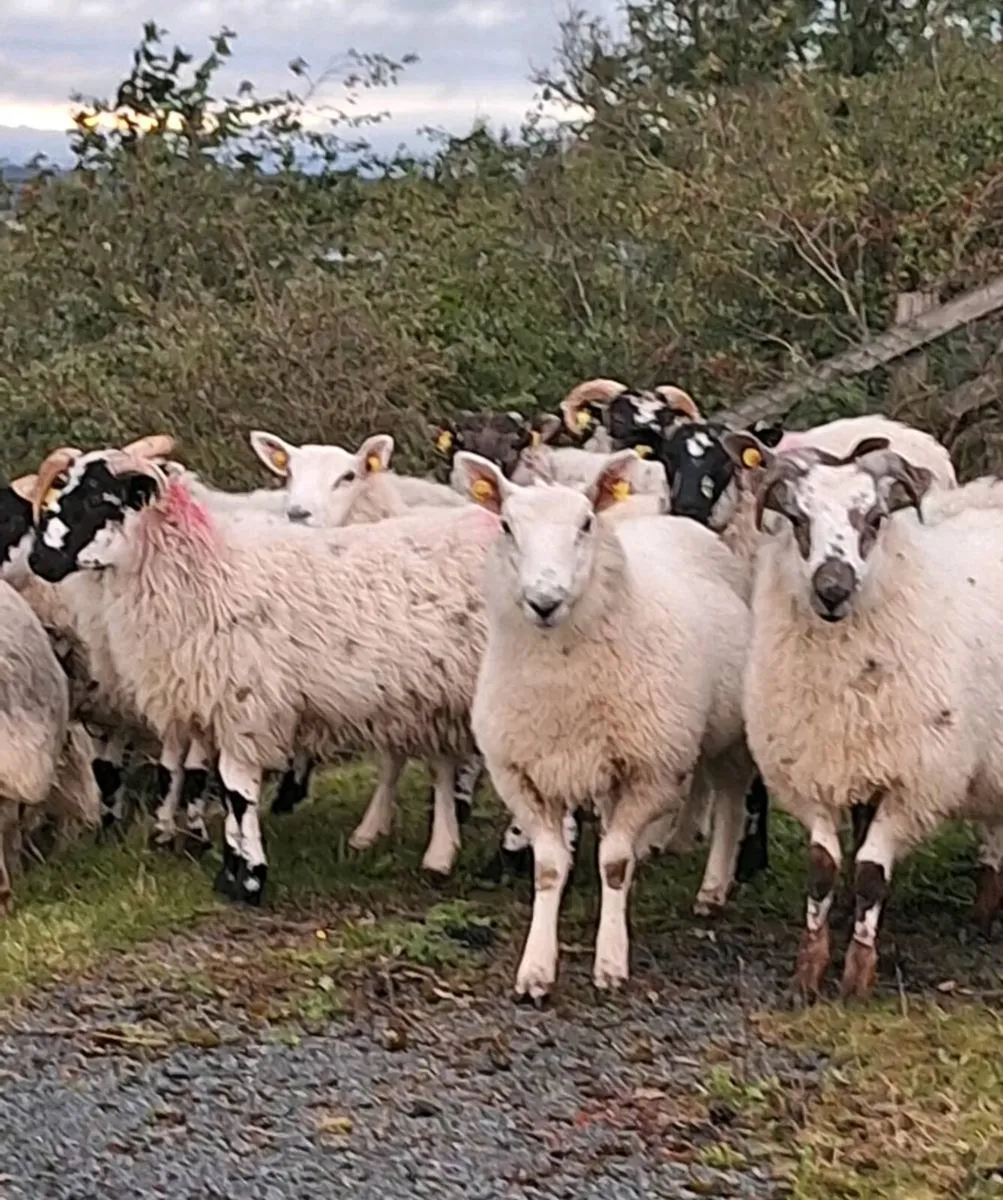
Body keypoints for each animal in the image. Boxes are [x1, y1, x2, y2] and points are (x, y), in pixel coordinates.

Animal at [27, 442, 500, 903]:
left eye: (96, 499)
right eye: (59, 492)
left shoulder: (245, 705)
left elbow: (237, 795)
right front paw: (228, 871)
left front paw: (247, 881)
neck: (203, 570)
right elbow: (215, 787)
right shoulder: (215, 706)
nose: (38, 560)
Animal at [453, 448, 755, 999]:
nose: (544, 601)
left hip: (729, 734)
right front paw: (536, 969)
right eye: (506, 526)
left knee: (729, 802)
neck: (561, 679)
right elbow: (549, 869)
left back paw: (712, 888)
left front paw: (611, 962)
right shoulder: (523, 776)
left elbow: (614, 864)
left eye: (586, 524)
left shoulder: (651, 770)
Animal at [721, 429, 1003, 1001]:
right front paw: (809, 971)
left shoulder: (913, 780)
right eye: (798, 518)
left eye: (874, 519)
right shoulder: (813, 768)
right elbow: (823, 868)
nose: (833, 588)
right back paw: (985, 908)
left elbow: (873, 871)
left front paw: (857, 975)